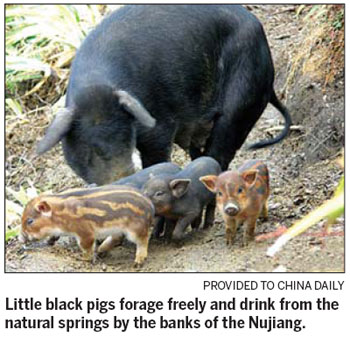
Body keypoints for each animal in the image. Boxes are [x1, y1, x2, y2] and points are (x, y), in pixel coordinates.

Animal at [37, 4, 292, 184]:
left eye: (127, 140)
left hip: (243, 94)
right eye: (92, 150)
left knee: (221, 149)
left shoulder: (159, 124)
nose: (123, 177)